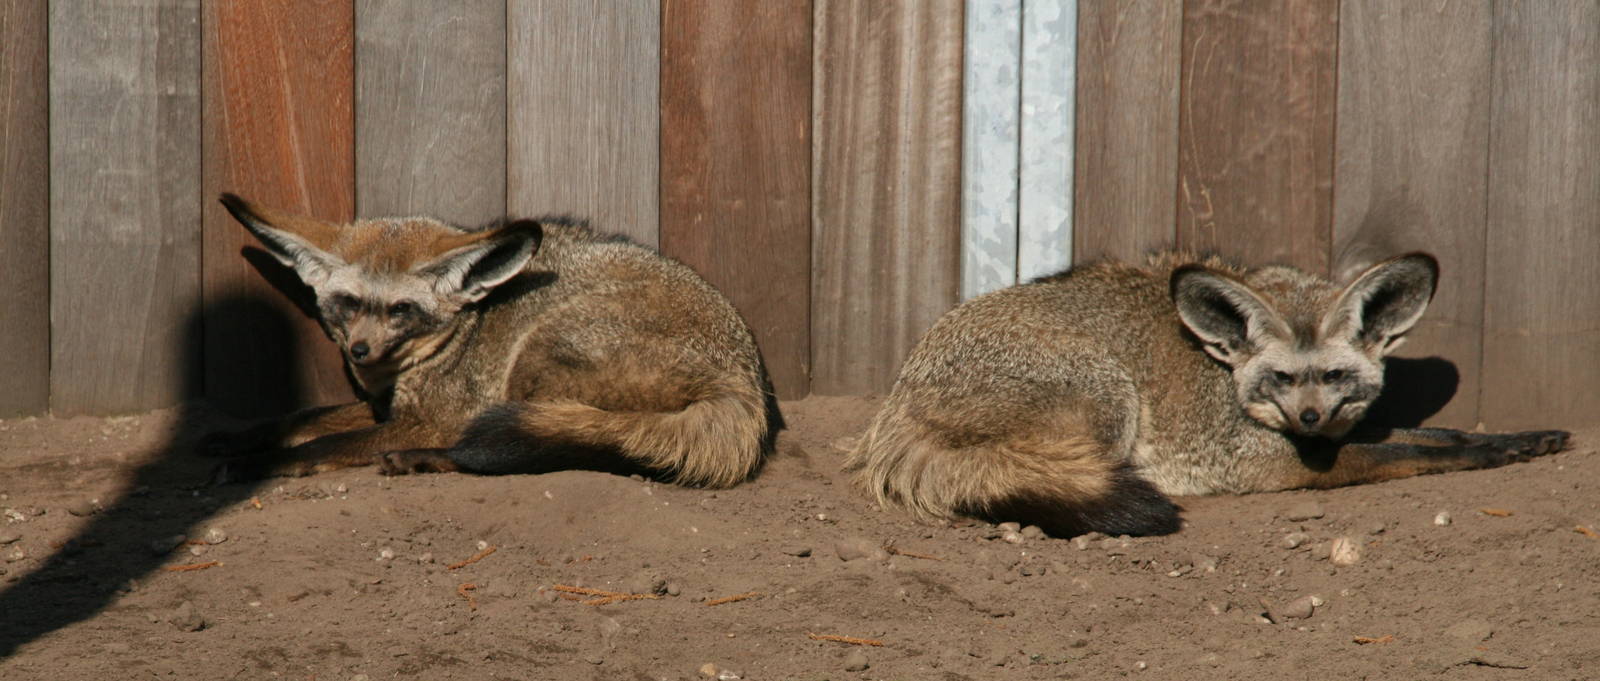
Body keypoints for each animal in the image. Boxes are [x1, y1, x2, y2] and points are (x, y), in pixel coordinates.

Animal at [202, 193, 778, 486]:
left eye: (401, 310)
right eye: (348, 303)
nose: (359, 353)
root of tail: (745, 383)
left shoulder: (434, 416)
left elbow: (324, 443)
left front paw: (261, 466)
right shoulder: (385, 407)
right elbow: (300, 419)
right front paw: (242, 438)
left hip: (536, 354)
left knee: (530, 448)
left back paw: (423, 459)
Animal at [846, 252, 1570, 537]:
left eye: (1335, 378)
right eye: (1281, 378)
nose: (1309, 419)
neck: (1226, 373)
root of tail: (898, 397)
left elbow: (1433, 434)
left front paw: (1524, 438)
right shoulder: (1262, 461)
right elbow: (1411, 452)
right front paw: (1495, 449)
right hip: (1111, 395)